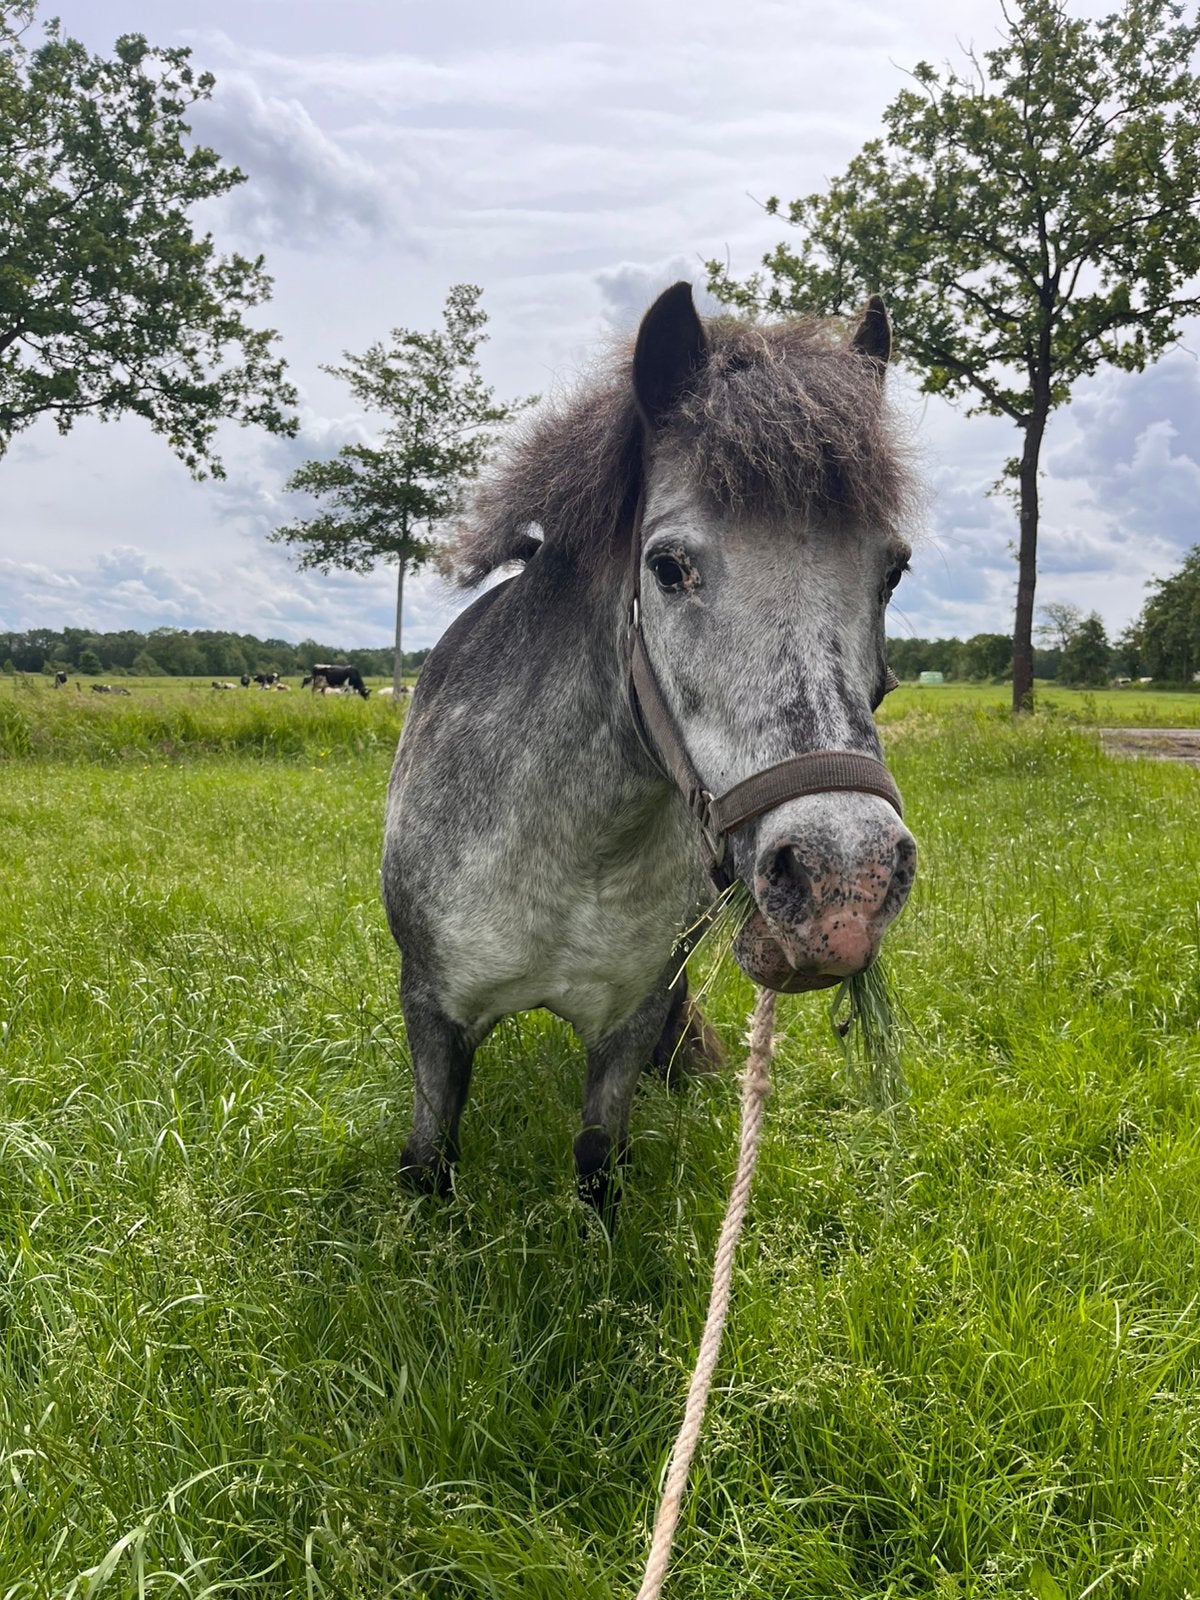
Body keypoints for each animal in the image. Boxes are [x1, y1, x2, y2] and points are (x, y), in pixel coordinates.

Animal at [381, 283, 918, 1211]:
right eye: (668, 567)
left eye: (892, 570)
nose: (845, 882)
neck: (570, 848)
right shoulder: (434, 1016)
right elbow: (430, 1161)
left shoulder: (626, 1024)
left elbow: (599, 1159)